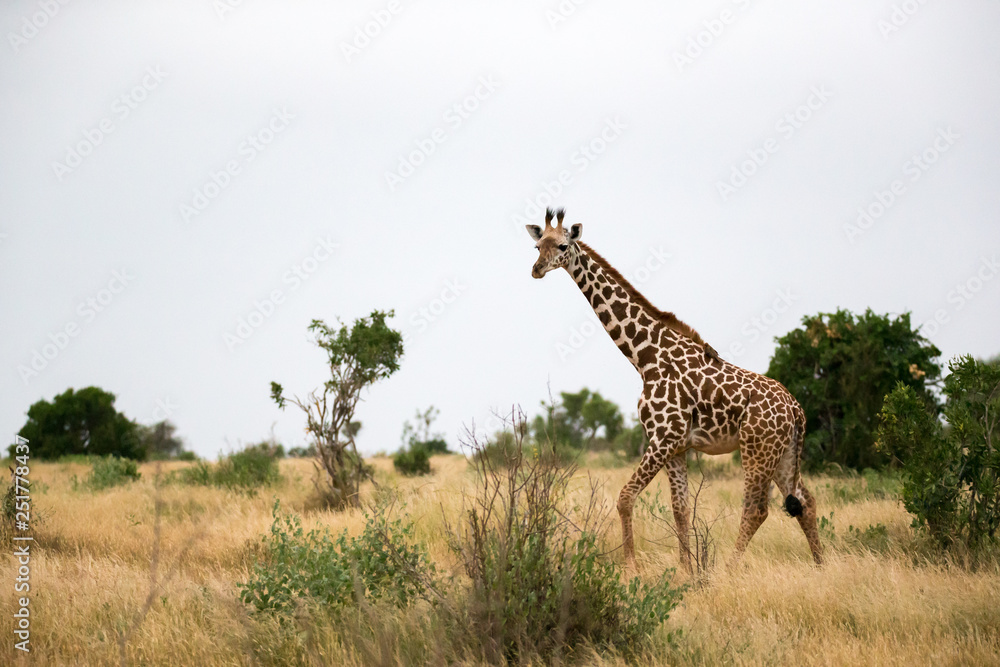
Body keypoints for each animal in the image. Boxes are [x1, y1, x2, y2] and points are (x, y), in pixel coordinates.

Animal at [525, 208, 823, 571]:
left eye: (564, 246)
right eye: (538, 245)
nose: (537, 269)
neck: (644, 357)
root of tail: (797, 410)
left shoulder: (663, 438)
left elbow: (625, 498)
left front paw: (631, 567)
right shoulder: (677, 446)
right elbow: (680, 509)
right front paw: (686, 570)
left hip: (756, 449)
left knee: (757, 509)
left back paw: (729, 569)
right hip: (784, 453)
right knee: (805, 502)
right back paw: (821, 566)